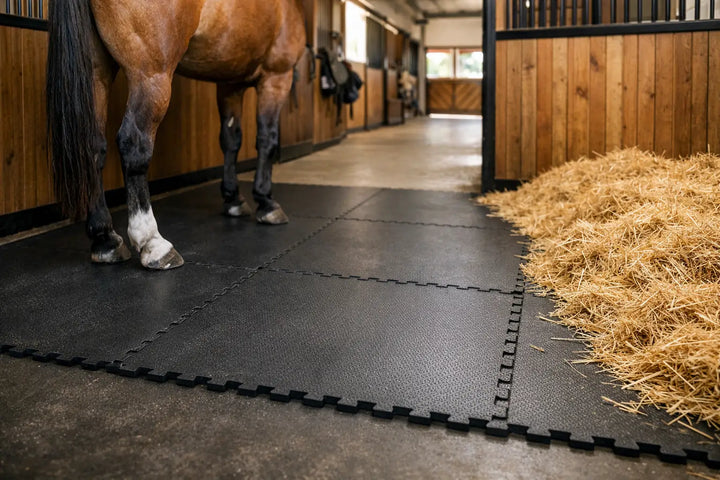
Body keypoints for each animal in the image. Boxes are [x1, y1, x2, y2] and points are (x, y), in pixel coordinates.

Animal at [47, 0, 306, 270]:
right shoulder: (277, 77)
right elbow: (267, 140)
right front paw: (266, 202)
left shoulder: (229, 84)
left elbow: (231, 140)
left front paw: (234, 199)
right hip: (152, 77)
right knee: (134, 144)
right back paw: (153, 242)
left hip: (96, 74)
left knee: (94, 149)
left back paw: (105, 239)